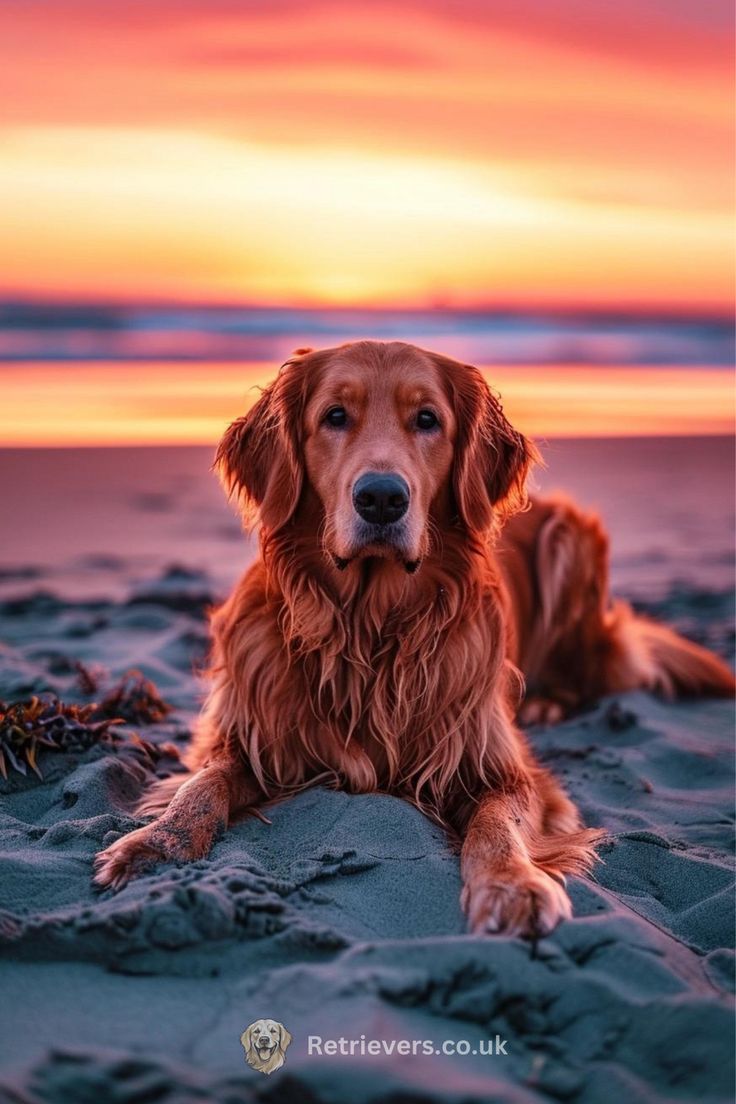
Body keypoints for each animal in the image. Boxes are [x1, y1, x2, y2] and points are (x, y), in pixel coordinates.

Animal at [94, 340, 635, 936]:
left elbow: (498, 823)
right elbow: (201, 785)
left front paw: (513, 883)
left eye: (427, 420)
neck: (368, 628)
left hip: (570, 536)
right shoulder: (249, 736)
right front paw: (156, 844)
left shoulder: (503, 767)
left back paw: (545, 702)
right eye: (335, 416)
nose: (380, 498)